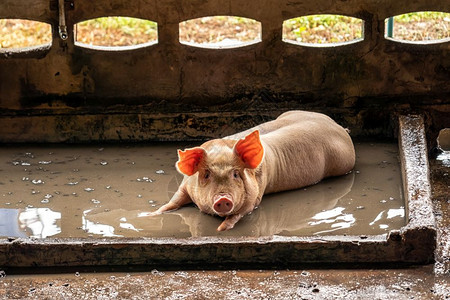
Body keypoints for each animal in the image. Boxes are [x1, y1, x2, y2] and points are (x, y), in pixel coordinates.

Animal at [150, 111, 356, 231]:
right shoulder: (185, 184)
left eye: (235, 174)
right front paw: (154, 213)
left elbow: (241, 213)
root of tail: (339, 127)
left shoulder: (256, 195)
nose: (223, 199)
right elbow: (174, 200)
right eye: (206, 174)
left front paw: (221, 229)